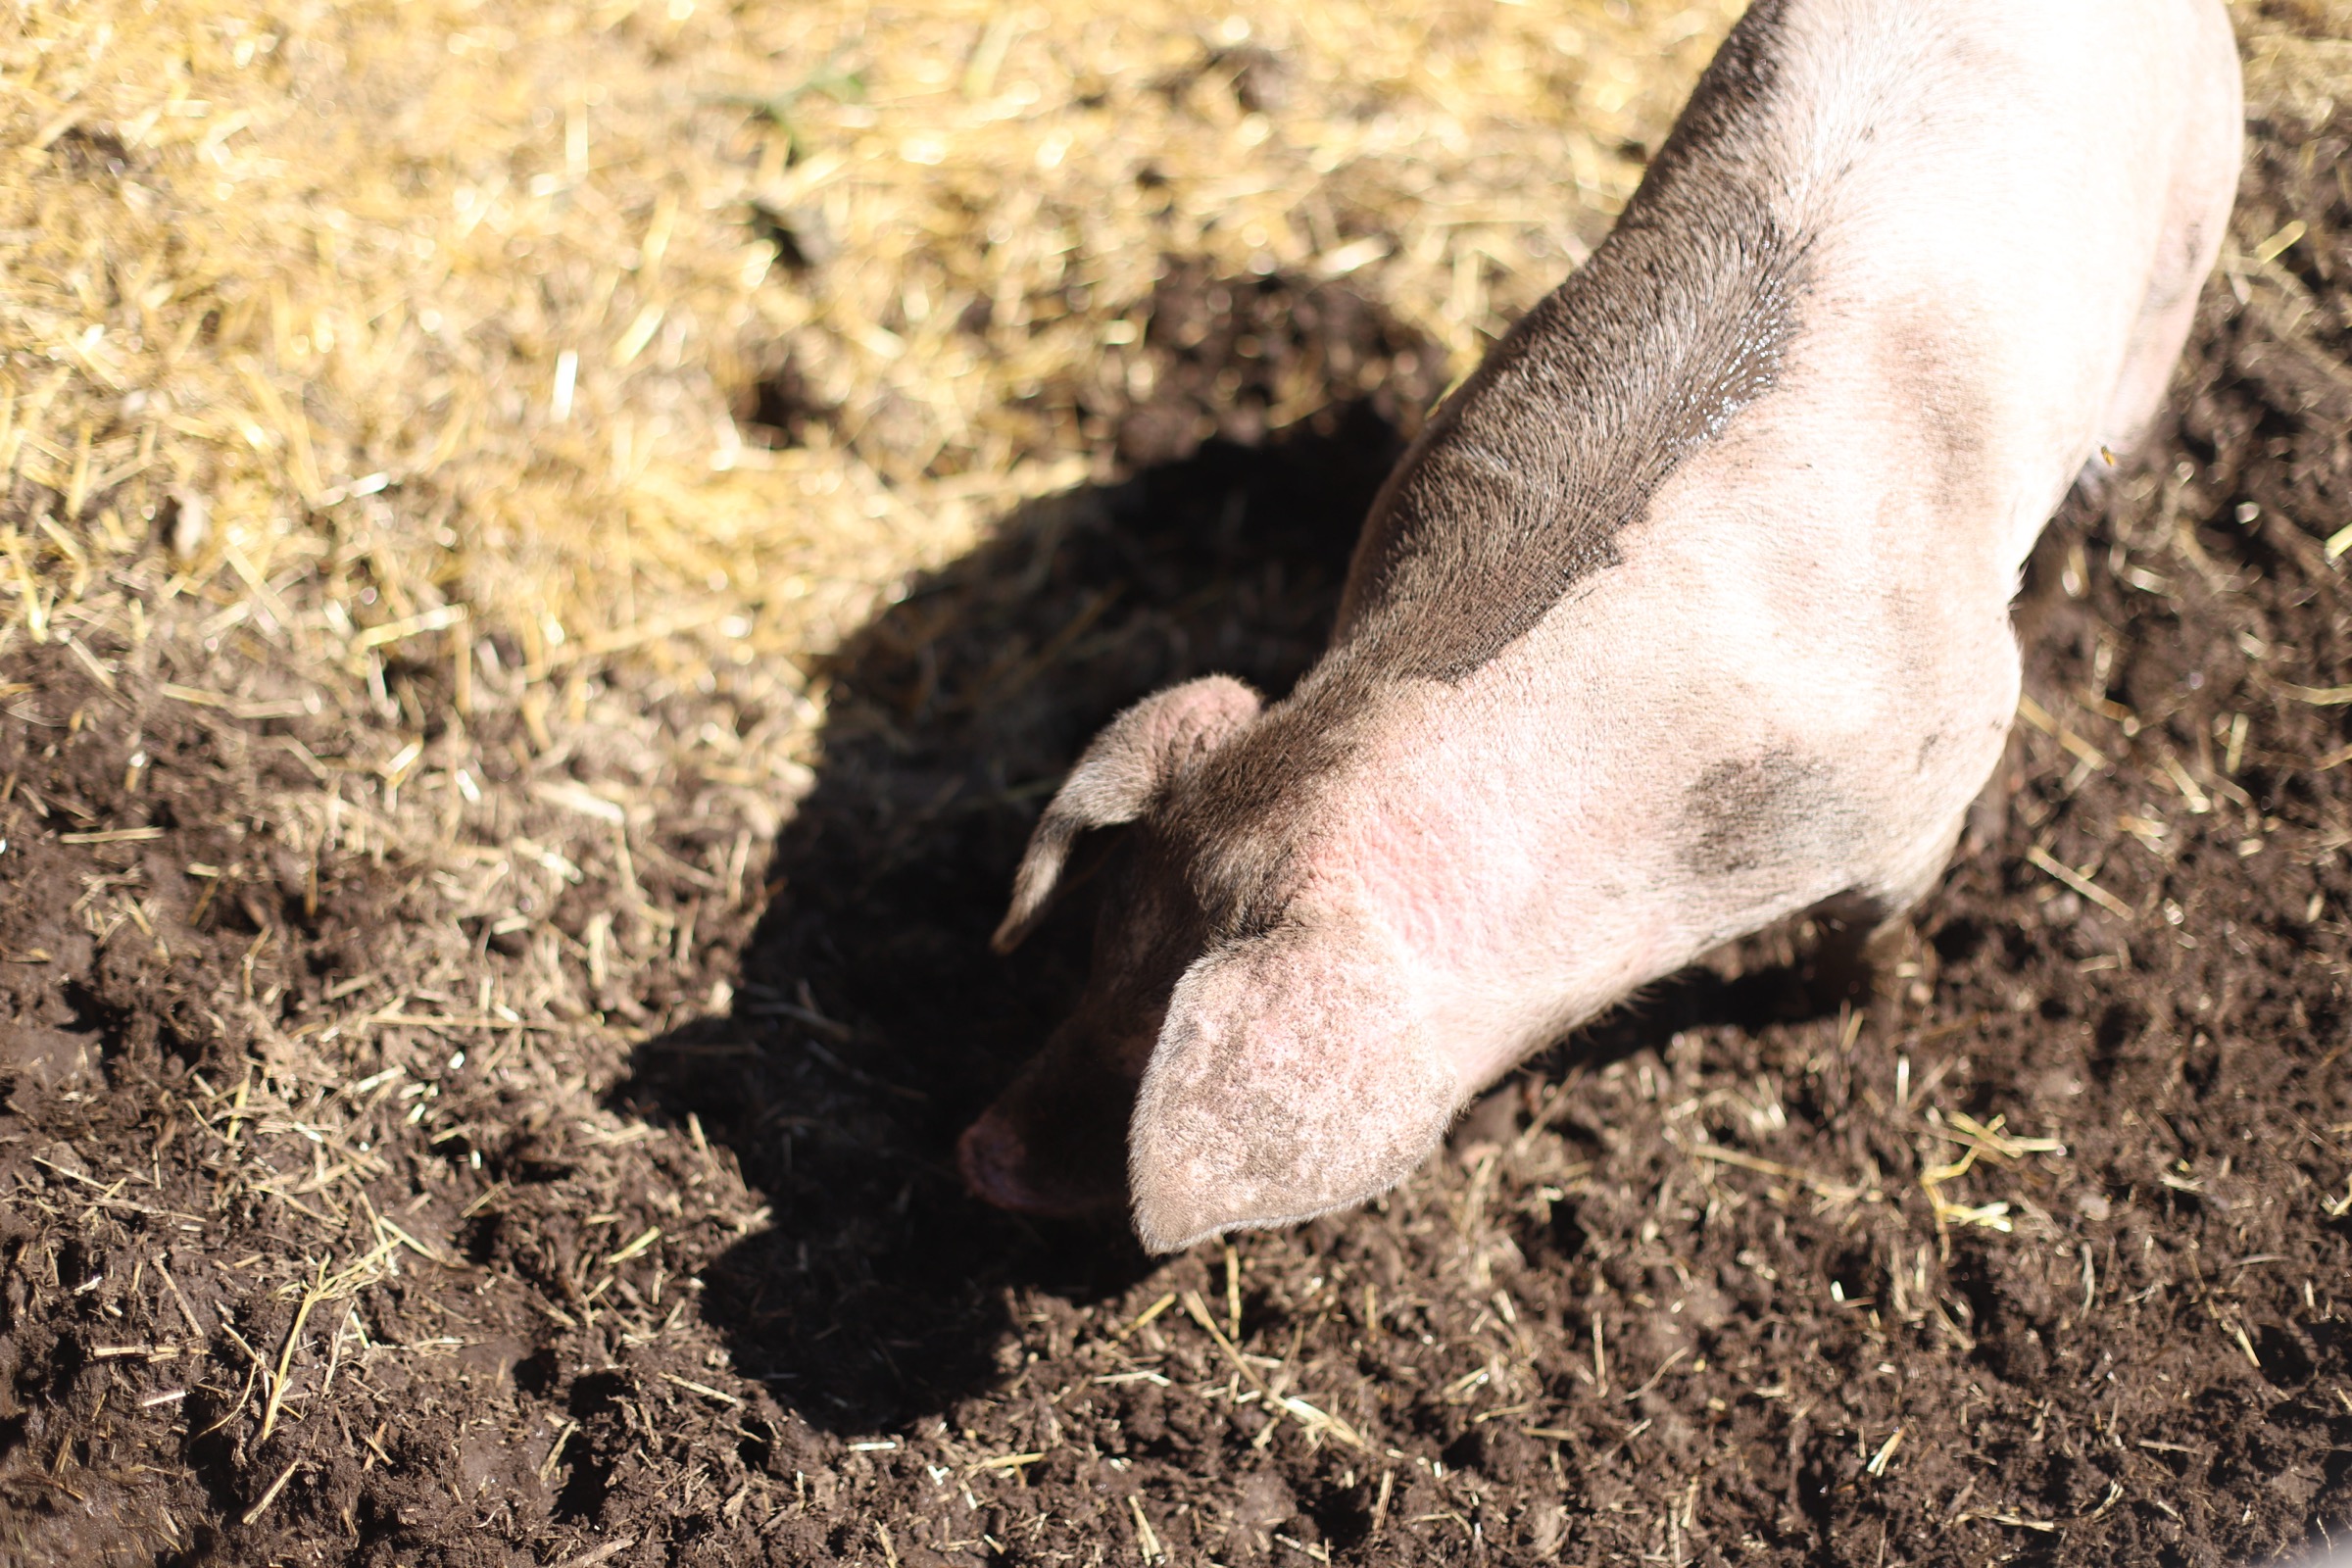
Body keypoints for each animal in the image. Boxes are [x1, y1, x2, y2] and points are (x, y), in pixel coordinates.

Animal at [955, 0, 2238, 1250]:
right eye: (1106, 937)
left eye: (1157, 1024)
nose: (979, 1153)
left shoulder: (1938, 762)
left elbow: (1871, 929)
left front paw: (1838, 1009)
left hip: (2189, 230)